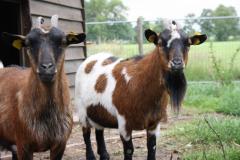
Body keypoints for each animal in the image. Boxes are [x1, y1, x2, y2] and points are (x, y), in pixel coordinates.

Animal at [75, 20, 206, 159]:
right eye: (160, 43)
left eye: (188, 44)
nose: (177, 63)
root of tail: (89, 59)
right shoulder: (124, 123)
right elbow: (128, 150)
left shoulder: (154, 123)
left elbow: (152, 148)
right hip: (81, 110)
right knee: (86, 133)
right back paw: (91, 156)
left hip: (97, 110)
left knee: (99, 130)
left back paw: (104, 155)